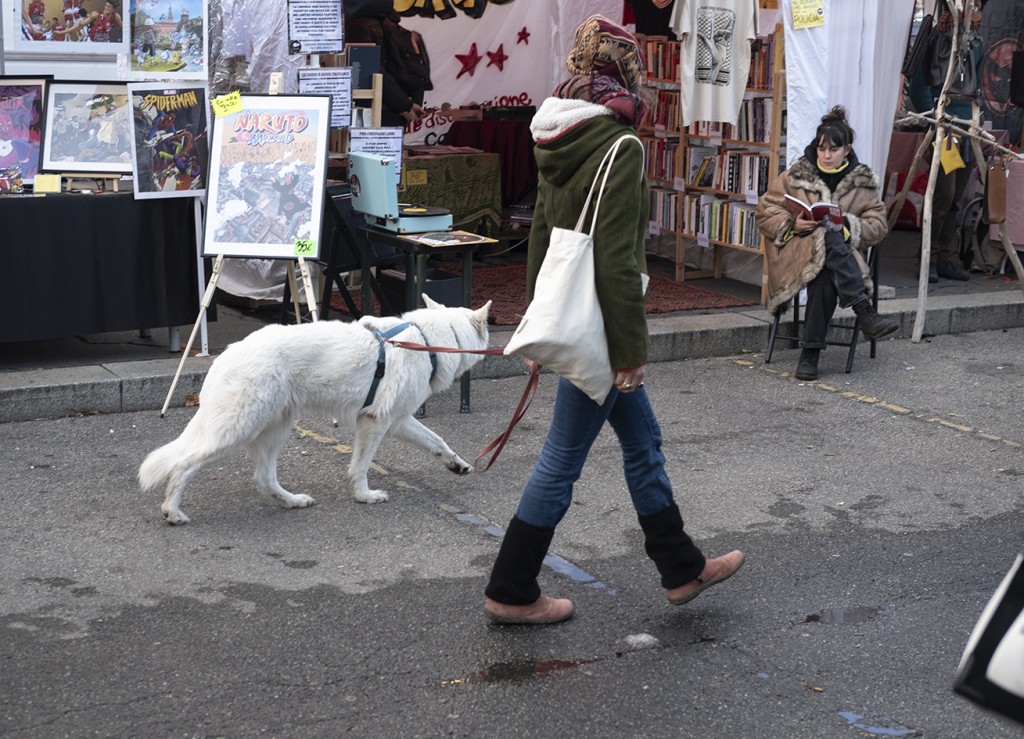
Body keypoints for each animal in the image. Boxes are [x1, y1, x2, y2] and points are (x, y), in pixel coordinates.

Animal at [140, 294, 491, 524]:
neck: (426, 338)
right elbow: (361, 467)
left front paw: (457, 464)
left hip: (275, 430)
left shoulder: (398, 420)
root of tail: (226, 354)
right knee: (183, 464)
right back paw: (173, 511)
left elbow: (437, 441)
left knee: (263, 479)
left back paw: (292, 501)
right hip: (237, 432)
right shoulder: (375, 422)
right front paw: (364, 496)